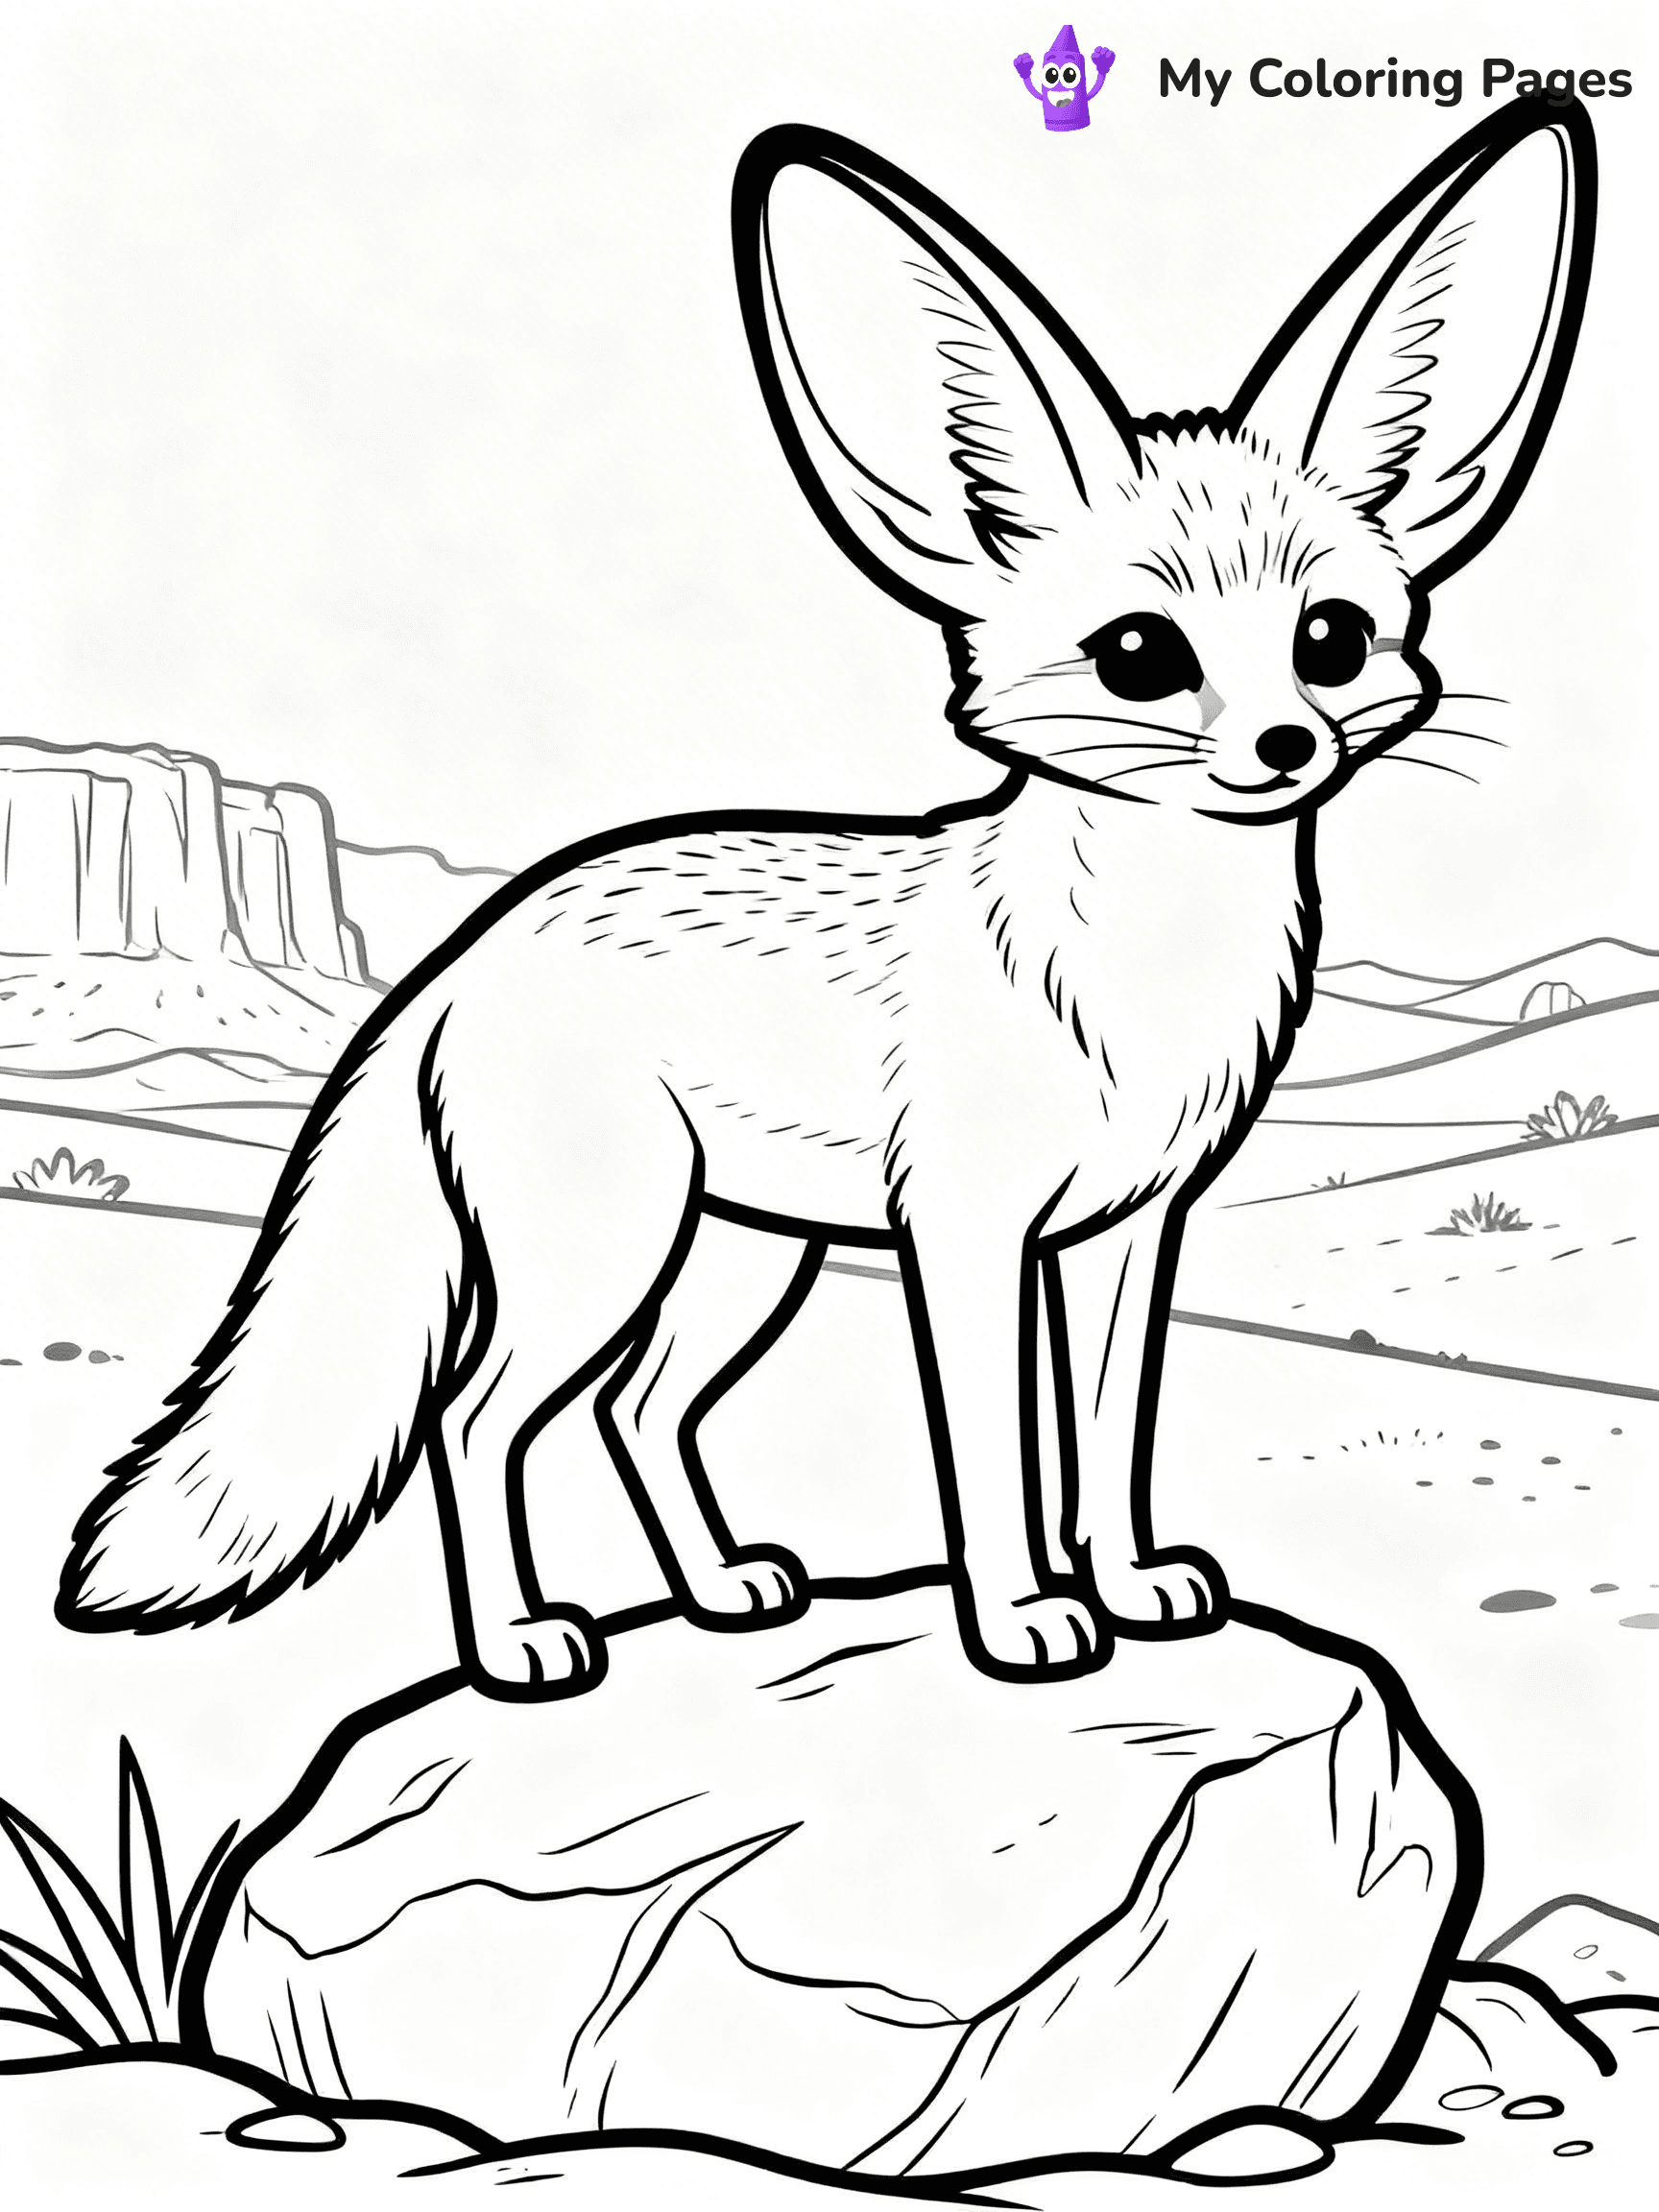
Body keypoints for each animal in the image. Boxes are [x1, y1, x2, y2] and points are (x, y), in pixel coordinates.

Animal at [60, 104, 1593, 1696]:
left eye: (1332, 638)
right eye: (1139, 656)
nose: (1289, 747)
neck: (1142, 970)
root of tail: (457, 959)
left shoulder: (1126, 1232)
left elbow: (1109, 1440)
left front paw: (1134, 1587)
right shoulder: (965, 1231)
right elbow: (993, 1458)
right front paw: (1025, 1621)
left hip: (743, 1254)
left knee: (637, 1410)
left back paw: (727, 1589)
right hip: (606, 1250)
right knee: (476, 1421)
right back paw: (524, 1645)